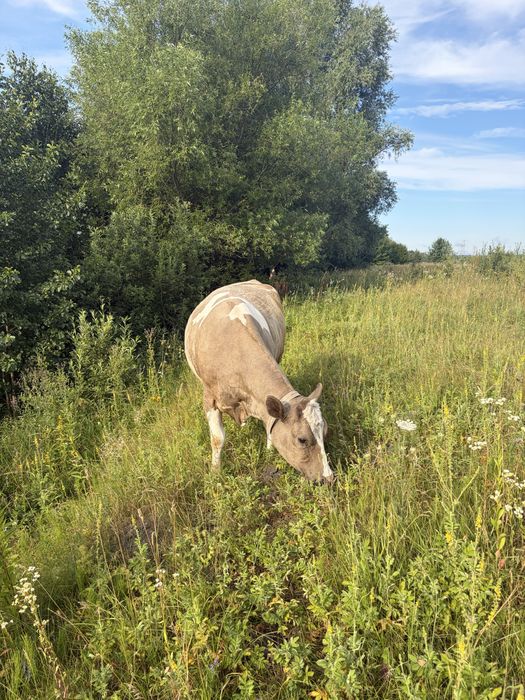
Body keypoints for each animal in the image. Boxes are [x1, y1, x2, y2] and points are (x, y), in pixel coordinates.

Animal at [184, 280, 333, 483]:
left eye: (325, 431)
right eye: (302, 439)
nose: (329, 478)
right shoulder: (209, 397)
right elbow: (217, 438)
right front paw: (215, 472)